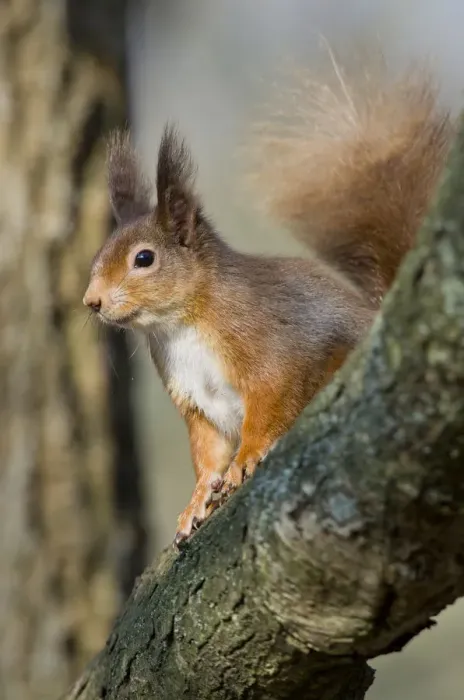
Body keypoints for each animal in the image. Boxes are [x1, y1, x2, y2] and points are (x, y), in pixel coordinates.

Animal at [83, 60, 452, 546]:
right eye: (98, 254)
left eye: (144, 259)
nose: (91, 301)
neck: (179, 325)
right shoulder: (193, 399)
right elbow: (208, 452)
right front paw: (196, 501)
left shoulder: (268, 346)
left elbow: (271, 401)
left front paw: (247, 458)